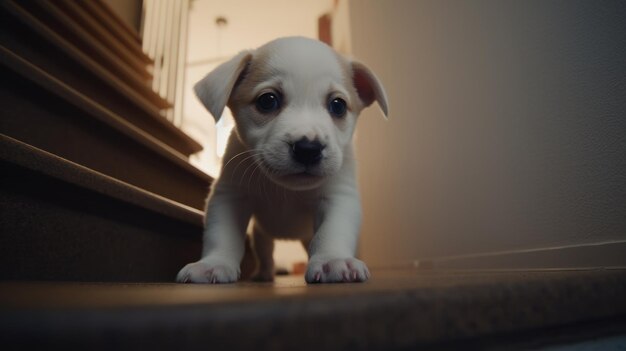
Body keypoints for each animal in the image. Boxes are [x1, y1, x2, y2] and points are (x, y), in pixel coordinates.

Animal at [176, 36, 386, 284]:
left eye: (338, 105)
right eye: (268, 101)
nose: (308, 148)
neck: (286, 190)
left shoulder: (338, 197)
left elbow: (331, 232)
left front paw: (332, 259)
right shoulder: (230, 195)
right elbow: (223, 235)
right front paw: (213, 263)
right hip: (261, 236)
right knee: (265, 254)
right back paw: (264, 274)